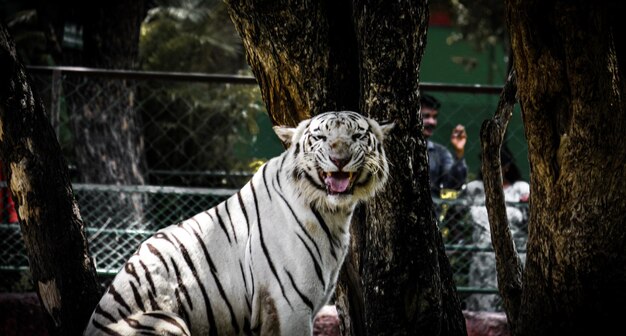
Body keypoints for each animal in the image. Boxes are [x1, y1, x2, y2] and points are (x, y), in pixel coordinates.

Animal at [84, 111, 390, 334]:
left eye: (357, 135)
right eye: (321, 137)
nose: (340, 159)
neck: (333, 212)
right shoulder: (290, 306)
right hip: (166, 318)